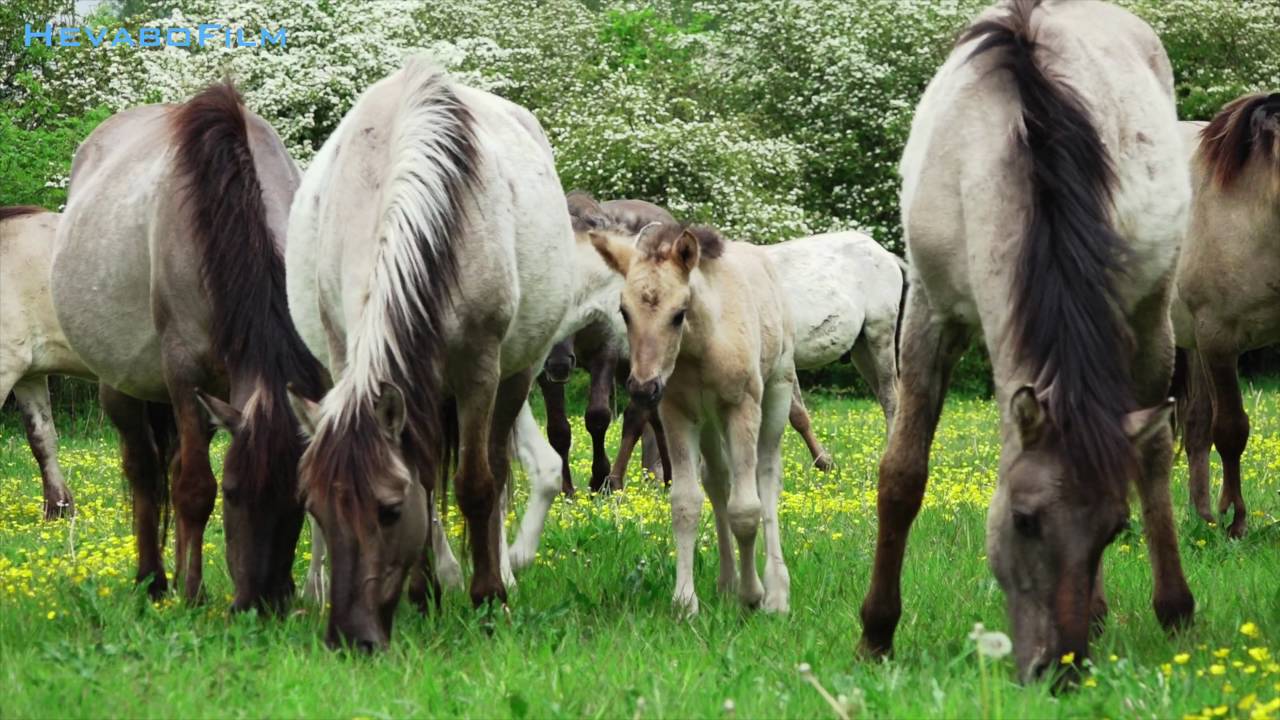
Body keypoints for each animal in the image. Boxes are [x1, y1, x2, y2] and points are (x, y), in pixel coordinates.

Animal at [51, 83, 328, 612]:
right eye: (235, 493)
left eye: (300, 499)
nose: (261, 603)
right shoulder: (183, 374)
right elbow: (196, 489)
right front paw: (194, 594)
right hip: (123, 388)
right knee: (145, 473)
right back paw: (154, 580)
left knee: (173, 464)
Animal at [283, 57, 582, 648]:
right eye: (317, 509)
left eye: (390, 511)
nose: (350, 637)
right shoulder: (347, 358)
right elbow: (423, 476)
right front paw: (423, 598)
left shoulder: (478, 371)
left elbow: (476, 485)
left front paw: (489, 599)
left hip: (516, 375)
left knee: (495, 467)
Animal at [592, 221, 796, 615]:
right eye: (624, 312)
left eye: (678, 313)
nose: (643, 388)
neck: (702, 344)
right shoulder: (678, 412)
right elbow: (686, 503)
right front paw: (685, 601)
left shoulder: (742, 406)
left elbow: (746, 508)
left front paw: (753, 594)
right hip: (709, 422)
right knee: (717, 482)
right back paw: (727, 582)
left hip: (776, 394)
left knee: (767, 478)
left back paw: (777, 593)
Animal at [860, 0, 1195, 683]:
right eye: (1024, 521)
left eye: (1113, 530)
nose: (1058, 669)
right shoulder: (930, 314)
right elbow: (902, 475)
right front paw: (876, 635)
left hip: (1152, 317)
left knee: (1151, 456)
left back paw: (1172, 607)